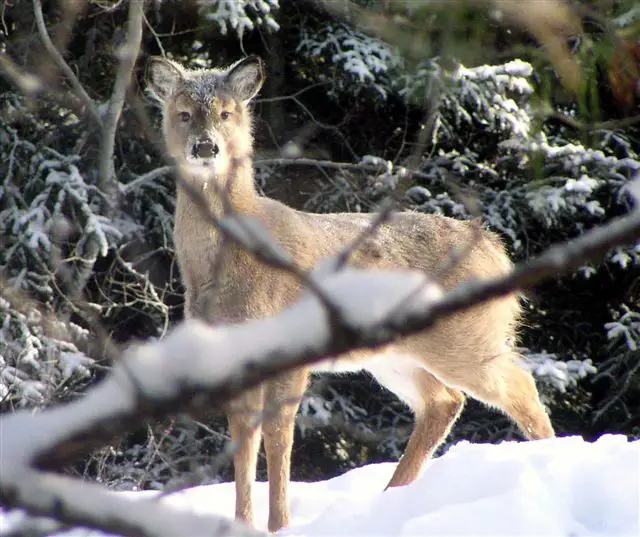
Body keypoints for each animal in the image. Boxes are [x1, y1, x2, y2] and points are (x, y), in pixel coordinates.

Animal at [146, 54, 556, 532]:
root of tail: (495, 248)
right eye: (184, 113)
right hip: (395, 355)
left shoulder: (288, 348)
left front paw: (280, 524)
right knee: (443, 401)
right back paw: (391, 496)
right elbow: (243, 439)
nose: (206, 147)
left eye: (227, 113)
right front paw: (243, 523)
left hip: (465, 337)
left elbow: (278, 436)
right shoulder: (232, 355)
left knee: (519, 384)